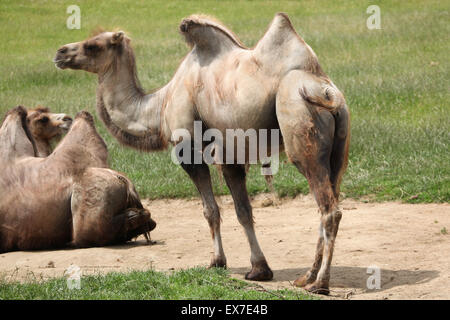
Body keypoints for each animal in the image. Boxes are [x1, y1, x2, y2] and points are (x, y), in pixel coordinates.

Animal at [55, 13, 352, 296]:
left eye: (93, 45)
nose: (60, 52)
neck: (160, 105)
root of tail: (327, 91)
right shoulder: (230, 156)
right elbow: (243, 211)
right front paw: (259, 269)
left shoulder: (187, 148)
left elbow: (211, 210)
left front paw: (218, 262)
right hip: (338, 151)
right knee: (327, 202)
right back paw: (306, 278)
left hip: (301, 129)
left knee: (329, 210)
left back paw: (320, 284)